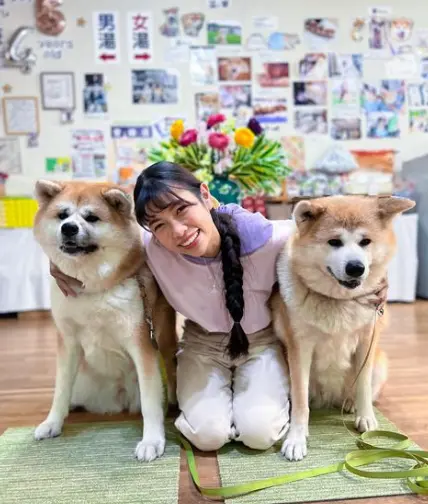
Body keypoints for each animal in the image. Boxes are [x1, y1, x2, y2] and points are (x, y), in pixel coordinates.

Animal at [32, 180, 177, 460]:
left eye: (92, 218)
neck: (92, 289)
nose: (69, 228)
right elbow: (60, 390)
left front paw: (152, 440)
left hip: (164, 347)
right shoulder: (68, 342)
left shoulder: (142, 344)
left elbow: (151, 403)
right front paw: (52, 422)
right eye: (62, 215)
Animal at [270, 196, 414, 460]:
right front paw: (296, 438)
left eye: (365, 241)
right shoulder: (299, 349)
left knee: (359, 389)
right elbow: (300, 402)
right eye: (334, 242)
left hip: (380, 363)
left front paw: (366, 417)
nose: (355, 267)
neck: (338, 301)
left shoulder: (367, 342)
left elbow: (364, 386)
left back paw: (350, 404)